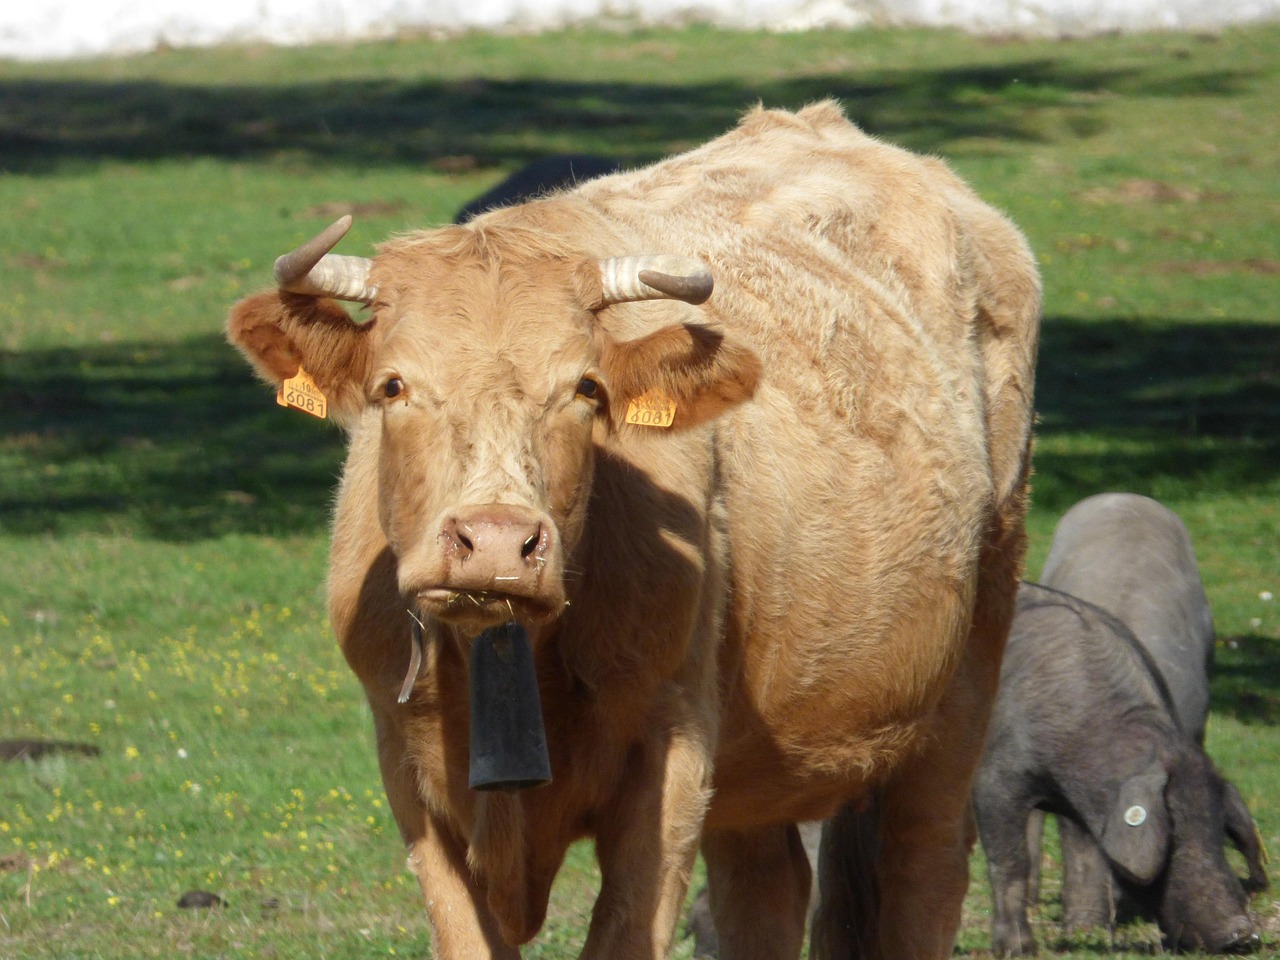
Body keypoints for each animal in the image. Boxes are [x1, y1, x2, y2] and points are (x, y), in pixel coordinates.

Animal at [227, 101, 1039, 957]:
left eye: (586, 388)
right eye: (392, 386)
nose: (495, 543)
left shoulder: (671, 754)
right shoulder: (408, 767)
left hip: (970, 656)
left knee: (924, 864)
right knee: (767, 886)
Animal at [967, 583, 1259, 957]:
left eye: (1218, 832)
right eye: (1173, 832)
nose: (1242, 934)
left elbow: (1086, 856)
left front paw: (1086, 935)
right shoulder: (995, 780)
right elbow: (1010, 861)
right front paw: (1018, 950)